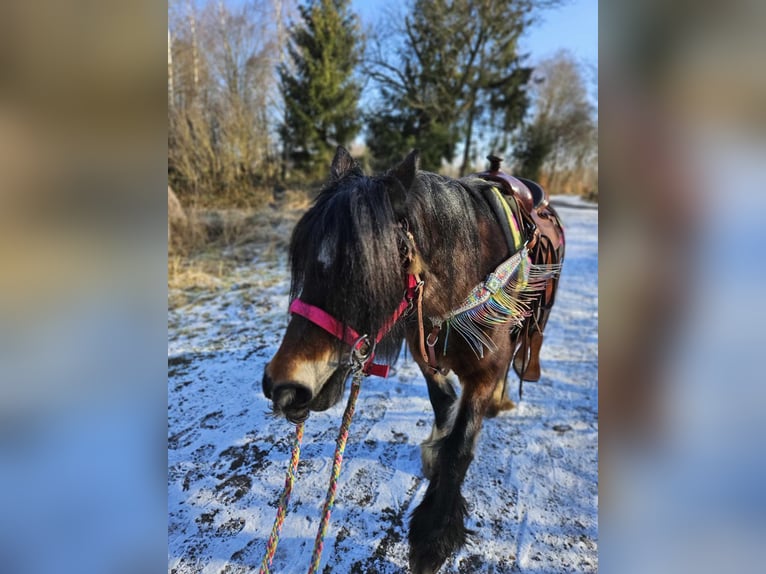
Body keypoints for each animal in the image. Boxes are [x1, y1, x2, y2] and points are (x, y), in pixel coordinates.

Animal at [262, 147, 564, 574]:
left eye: (364, 276)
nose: (284, 386)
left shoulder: (485, 372)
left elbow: (460, 446)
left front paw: (433, 535)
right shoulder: (424, 352)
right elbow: (442, 402)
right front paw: (433, 450)